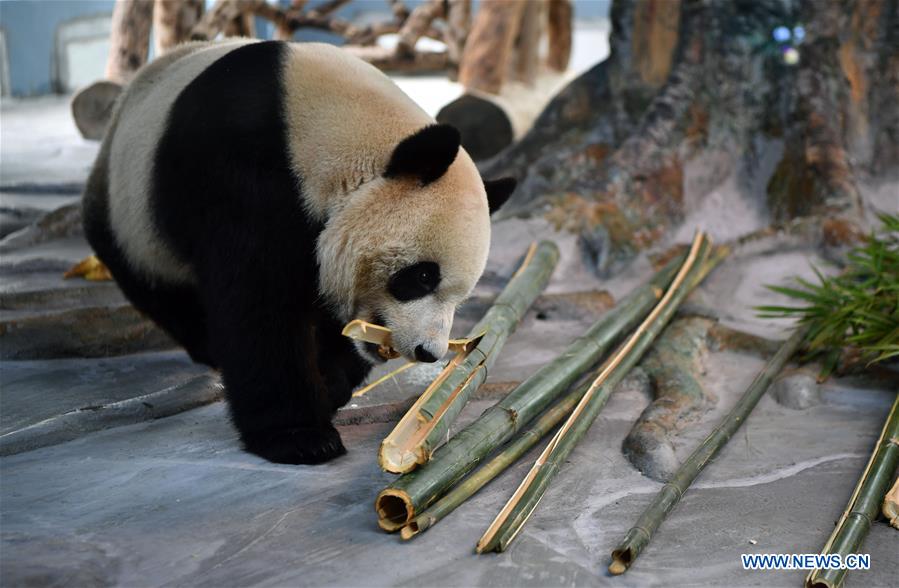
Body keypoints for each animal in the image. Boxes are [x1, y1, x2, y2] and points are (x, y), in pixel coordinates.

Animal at [81, 40, 515, 465]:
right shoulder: (243, 177)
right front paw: (300, 437)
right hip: (132, 213)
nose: (428, 353)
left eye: (460, 298)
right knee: (159, 288)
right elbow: (259, 306)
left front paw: (330, 383)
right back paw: (207, 344)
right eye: (422, 276)